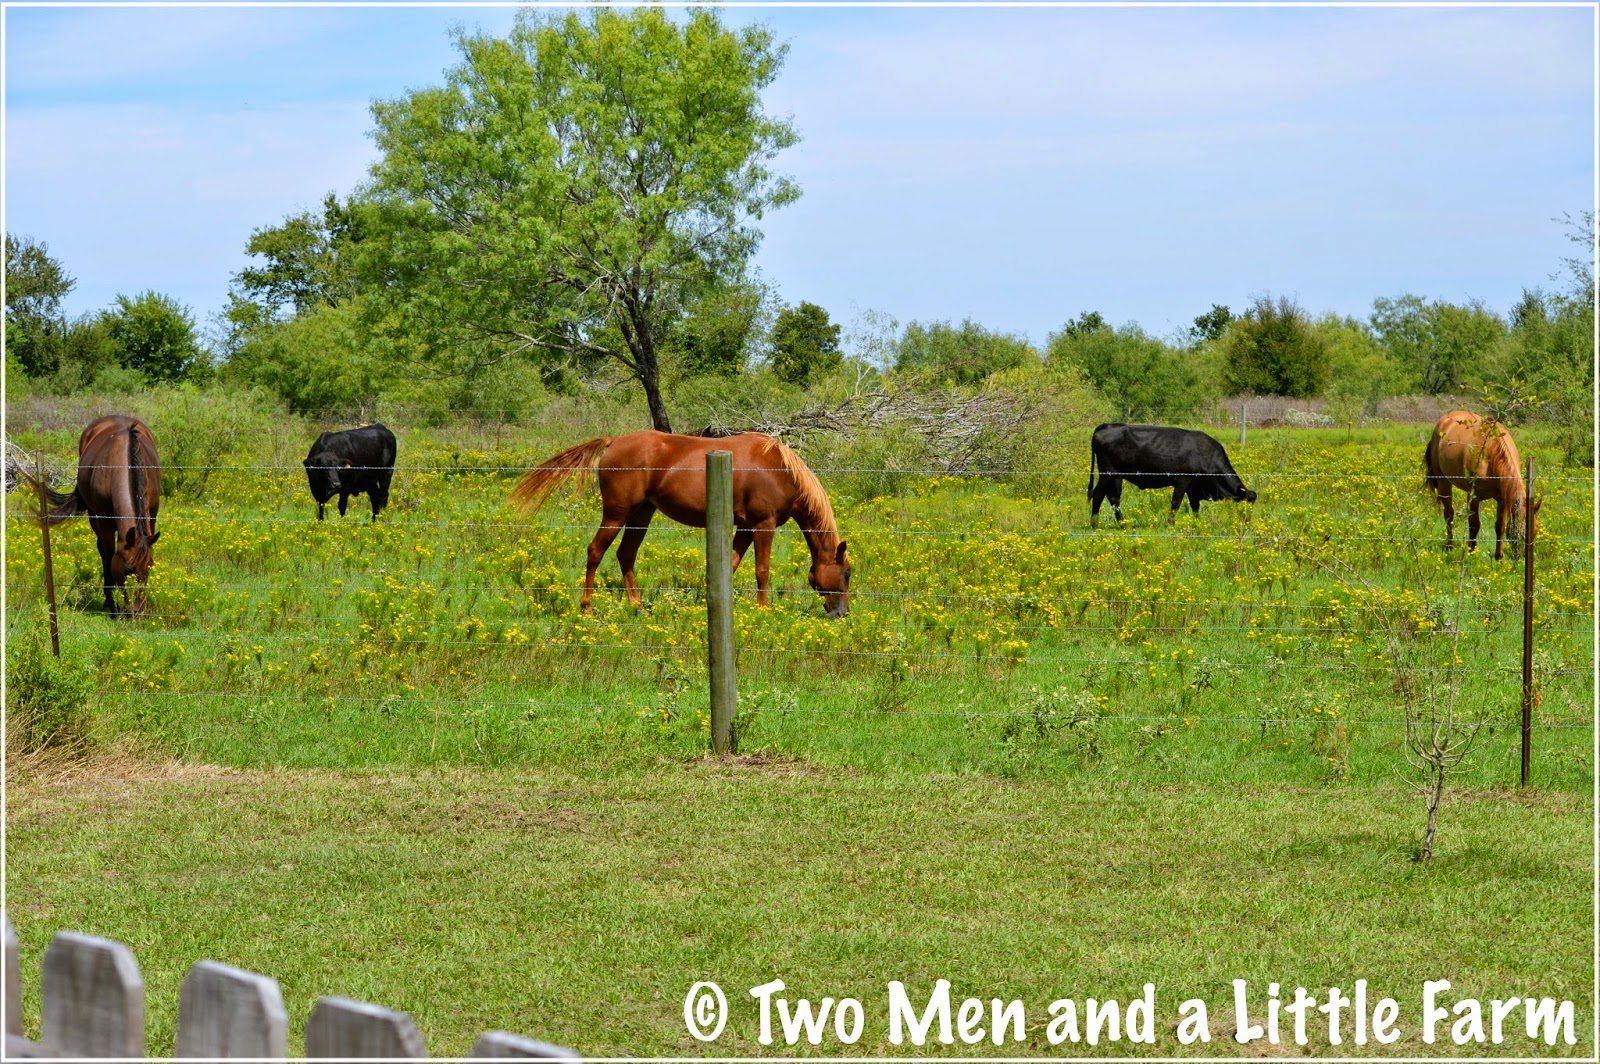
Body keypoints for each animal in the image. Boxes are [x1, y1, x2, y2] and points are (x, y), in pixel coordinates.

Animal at [38, 415, 162, 615]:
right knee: (102, 552)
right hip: (93, 517)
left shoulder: (151, 517)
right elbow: (109, 556)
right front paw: (112, 605)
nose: (136, 610)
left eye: (150, 566)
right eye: (128, 569)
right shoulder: (103, 524)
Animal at [511, 431, 851, 618]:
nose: (842, 613)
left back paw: (636, 605)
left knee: (626, 554)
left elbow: (730, 566)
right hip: (617, 515)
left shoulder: (743, 529)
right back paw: (587, 608)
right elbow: (762, 571)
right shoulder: (761, 525)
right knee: (595, 551)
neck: (779, 470)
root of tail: (614, 441)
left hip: (641, 515)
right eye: (847, 573)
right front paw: (763, 611)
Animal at [1087, 423, 1256, 528]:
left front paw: (1197, 524)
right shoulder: (1183, 479)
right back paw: (1123, 524)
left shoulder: (1193, 486)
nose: (1247, 523)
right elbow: (1176, 503)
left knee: (1098, 494)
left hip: (1105, 475)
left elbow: (1195, 506)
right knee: (1114, 498)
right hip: (1114, 474)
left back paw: (1094, 524)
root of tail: (1108, 425)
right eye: (1246, 504)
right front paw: (1171, 524)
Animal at [1423, 410, 1539, 560]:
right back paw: (1450, 546)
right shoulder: (1474, 496)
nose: (1521, 558)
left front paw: (1499, 558)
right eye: (1518, 530)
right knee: (1449, 514)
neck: (1490, 454)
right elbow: (1474, 524)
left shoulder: (1502, 498)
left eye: (1536, 530)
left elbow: (1500, 526)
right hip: (1443, 482)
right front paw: (1471, 552)